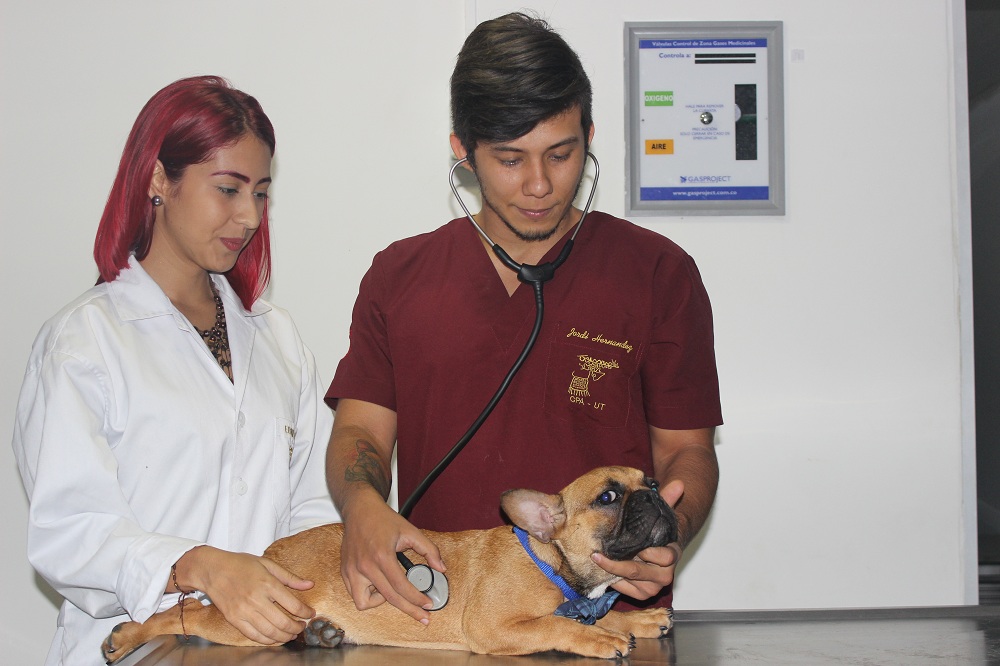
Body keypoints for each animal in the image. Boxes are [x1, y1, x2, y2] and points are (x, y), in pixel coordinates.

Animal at [102, 466, 678, 661]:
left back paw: (322, 635)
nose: (656, 497)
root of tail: (269, 553)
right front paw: (597, 638)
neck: (552, 561)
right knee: (180, 615)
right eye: (608, 497)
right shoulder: (496, 628)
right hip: (253, 621)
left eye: (649, 481)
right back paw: (127, 636)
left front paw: (639, 618)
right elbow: (558, 627)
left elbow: (607, 615)